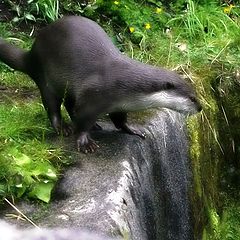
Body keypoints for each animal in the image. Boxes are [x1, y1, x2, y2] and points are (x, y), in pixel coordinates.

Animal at [0, 15, 202, 153]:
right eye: (192, 98)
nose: (200, 108)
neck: (127, 84)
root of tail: (31, 53)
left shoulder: (119, 105)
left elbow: (120, 121)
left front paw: (132, 129)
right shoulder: (94, 95)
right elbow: (83, 119)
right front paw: (84, 141)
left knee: (69, 104)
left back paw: (93, 125)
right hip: (46, 79)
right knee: (53, 106)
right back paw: (63, 128)